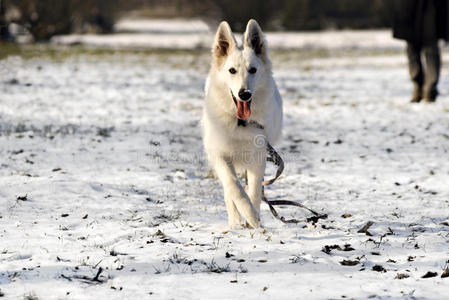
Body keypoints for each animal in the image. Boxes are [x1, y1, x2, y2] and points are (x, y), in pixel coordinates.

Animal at [202, 19, 282, 229]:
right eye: (232, 71)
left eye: (253, 70)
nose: (244, 94)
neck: (240, 123)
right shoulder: (219, 155)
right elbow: (233, 187)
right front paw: (246, 215)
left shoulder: (258, 157)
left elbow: (253, 191)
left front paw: (253, 219)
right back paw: (235, 221)